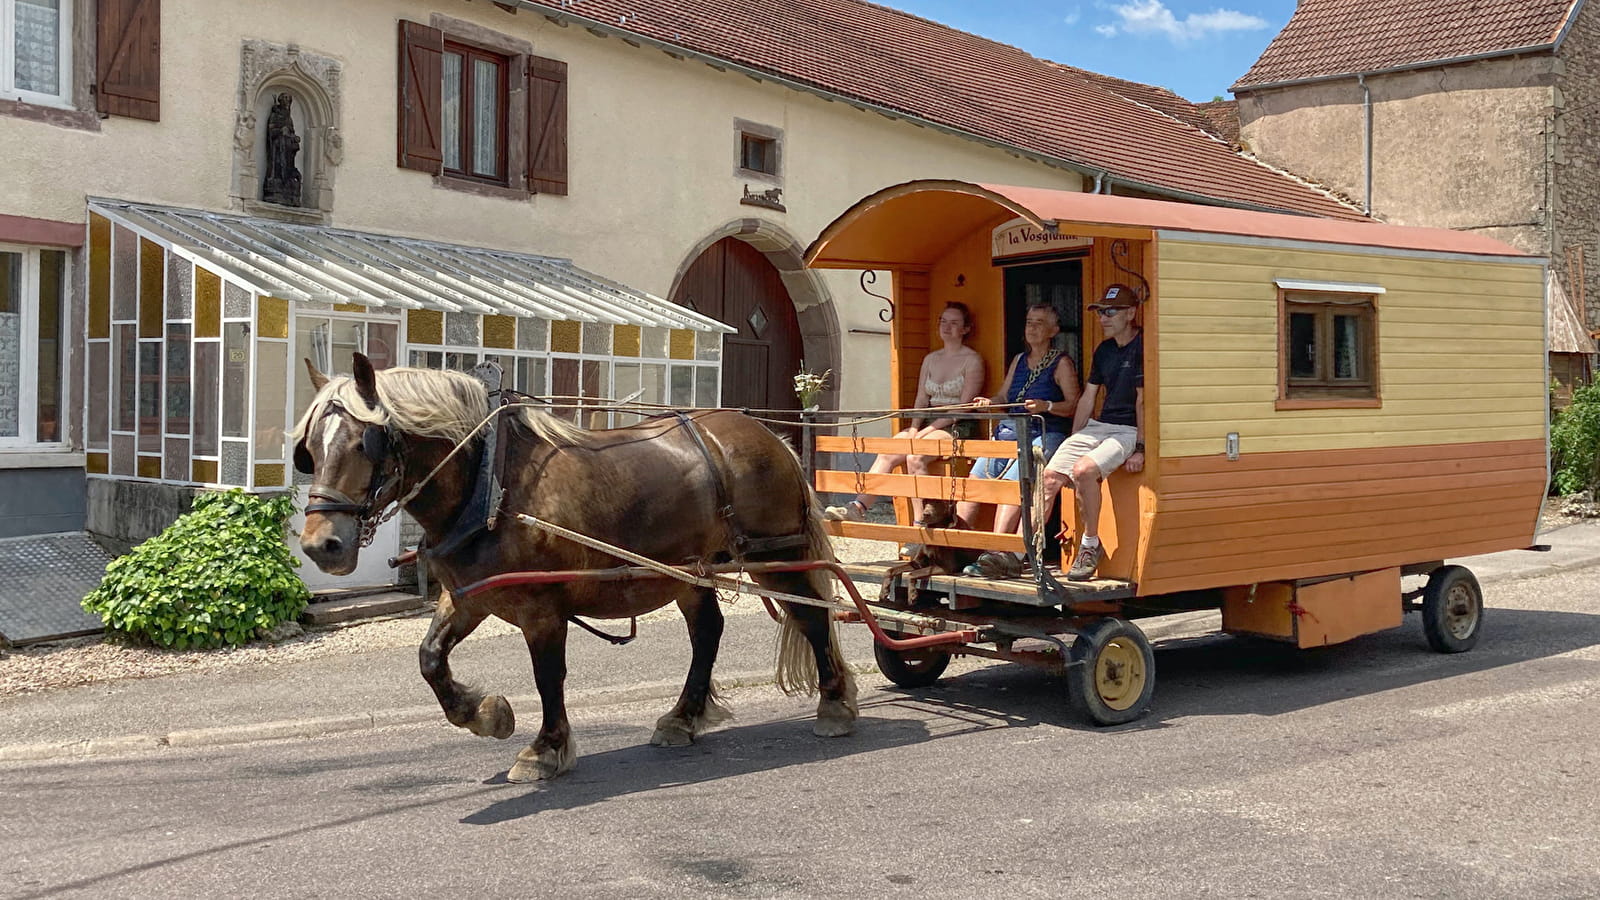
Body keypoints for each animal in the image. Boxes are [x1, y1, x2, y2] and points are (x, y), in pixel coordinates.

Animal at [292, 353, 857, 781]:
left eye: (364, 443)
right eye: (311, 449)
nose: (322, 546)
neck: (490, 485)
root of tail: (770, 435)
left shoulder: (541, 606)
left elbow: (548, 675)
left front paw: (545, 748)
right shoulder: (472, 595)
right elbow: (430, 657)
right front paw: (485, 714)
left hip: (774, 555)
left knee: (811, 616)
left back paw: (833, 705)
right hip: (690, 571)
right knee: (708, 632)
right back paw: (682, 718)